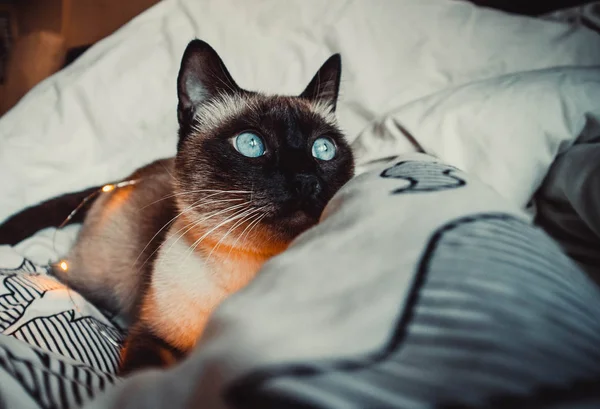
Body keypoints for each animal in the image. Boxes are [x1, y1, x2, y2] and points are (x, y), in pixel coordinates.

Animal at [0, 39, 354, 374]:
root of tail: (124, 179)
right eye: (251, 144)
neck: (250, 266)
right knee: (58, 271)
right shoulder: (151, 337)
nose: (306, 180)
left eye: (323, 149)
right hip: (100, 280)